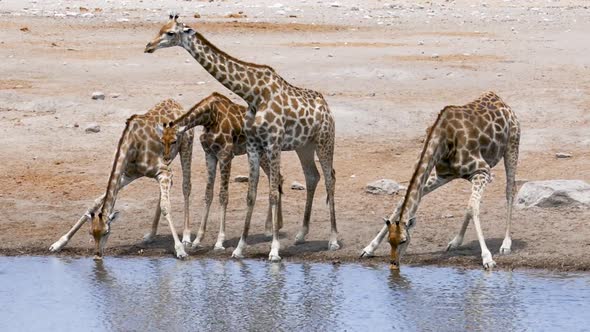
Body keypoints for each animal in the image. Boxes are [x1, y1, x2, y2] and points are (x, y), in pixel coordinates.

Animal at [48, 98, 195, 260]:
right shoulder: (128, 175)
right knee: (163, 193)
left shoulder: (163, 171)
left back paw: (186, 237)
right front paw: (58, 243)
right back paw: (150, 235)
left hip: (186, 145)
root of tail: (175, 103)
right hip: (166, 161)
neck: (131, 145)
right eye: (91, 233)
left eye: (106, 232)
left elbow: (166, 206)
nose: (97, 256)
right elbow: (95, 203)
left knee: (186, 186)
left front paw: (180, 250)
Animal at [158, 92, 286, 250]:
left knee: (277, 179)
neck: (209, 118)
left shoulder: (225, 155)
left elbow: (223, 196)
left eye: (174, 141)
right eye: (162, 140)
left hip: (264, 152)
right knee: (277, 178)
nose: (165, 158)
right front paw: (198, 239)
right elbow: (208, 194)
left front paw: (219, 241)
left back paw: (272, 227)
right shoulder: (210, 154)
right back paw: (273, 227)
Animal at [360, 91, 524, 270]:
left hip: (512, 145)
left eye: (403, 241)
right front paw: (369, 248)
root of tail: (500, 100)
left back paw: (506, 244)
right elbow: (401, 202)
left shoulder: (482, 171)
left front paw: (487, 258)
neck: (442, 140)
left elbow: (474, 208)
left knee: (509, 191)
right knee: (471, 202)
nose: (394, 265)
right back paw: (455, 242)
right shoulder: (443, 175)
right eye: (390, 241)